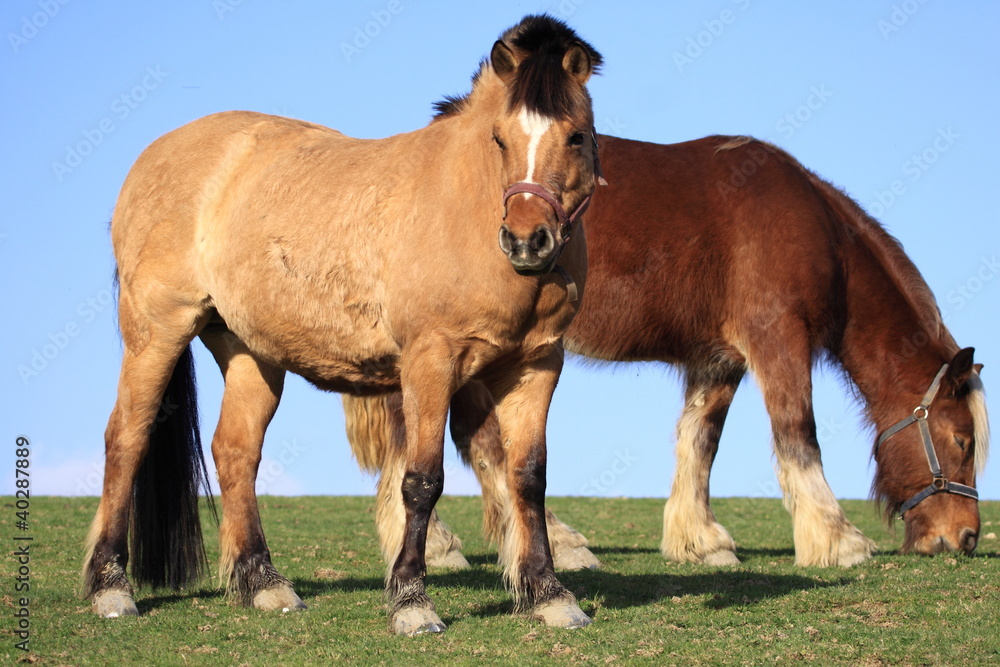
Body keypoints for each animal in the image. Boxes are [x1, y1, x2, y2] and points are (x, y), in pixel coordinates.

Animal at [83, 15, 605, 635]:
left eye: (577, 136)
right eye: (500, 139)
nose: (527, 241)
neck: (466, 209)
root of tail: (155, 154)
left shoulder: (535, 366)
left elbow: (528, 476)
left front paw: (548, 593)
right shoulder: (430, 363)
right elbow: (422, 480)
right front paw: (411, 600)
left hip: (250, 354)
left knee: (235, 451)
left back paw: (263, 582)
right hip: (156, 334)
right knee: (126, 439)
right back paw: (111, 586)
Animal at [344, 134, 990, 572]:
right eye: (962, 441)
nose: (964, 537)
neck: (815, 231)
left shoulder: (719, 359)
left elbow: (699, 442)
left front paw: (700, 540)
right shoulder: (779, 340)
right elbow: (797, 434)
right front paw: (838, 540)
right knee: (449, 439)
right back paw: (457, 544)